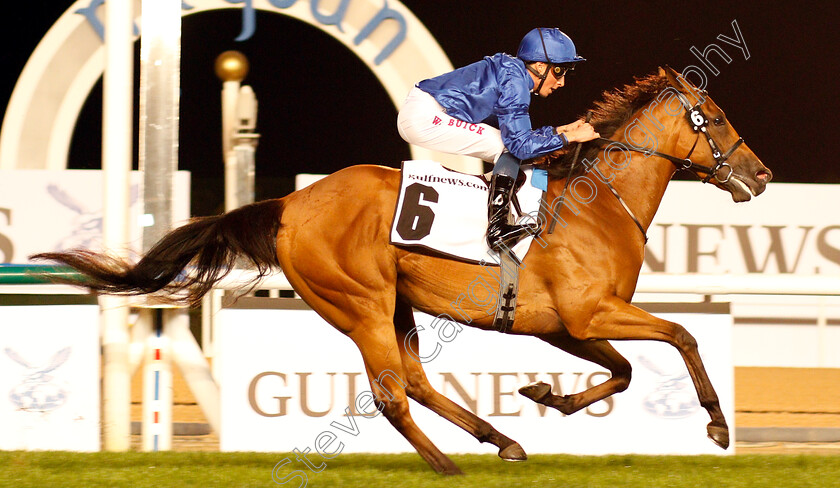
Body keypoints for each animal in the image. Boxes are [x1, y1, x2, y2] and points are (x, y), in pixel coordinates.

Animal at [32, 66, 772, 474]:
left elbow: (621, 372)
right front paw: (717, 424)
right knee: (391, 392)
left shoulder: (562, 323)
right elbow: (683, 336)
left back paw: (499, 438)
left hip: (396, 302)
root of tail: (290, 203)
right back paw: (446, 466)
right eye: (715, 118)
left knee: (414, 380)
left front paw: (546, 396)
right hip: (359, 303)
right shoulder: (589, 313)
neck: (597, 206)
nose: (761, 174)